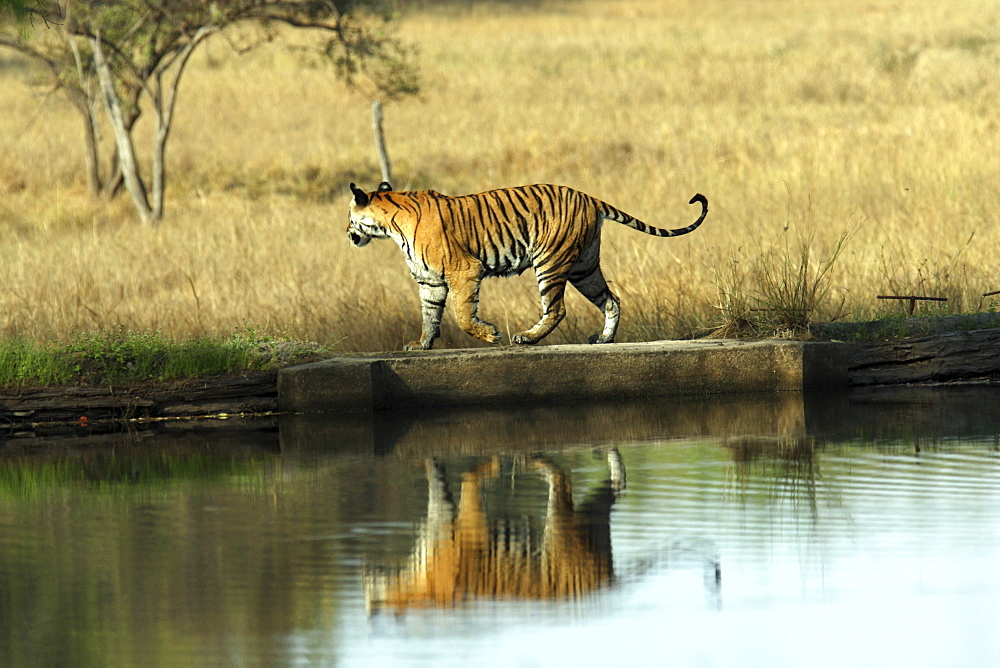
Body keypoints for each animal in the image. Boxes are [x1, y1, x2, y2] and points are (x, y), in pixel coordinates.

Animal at [348, 180, 708, 352]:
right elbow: (429, 315)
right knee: (611, 300)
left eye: (349, 217)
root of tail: (588, 196)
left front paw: (489, 334)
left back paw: (528, 338)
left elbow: (462, 315)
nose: (348, 235)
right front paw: (421, 344)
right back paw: (604, 340)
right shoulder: (430, 281)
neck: (392, 227)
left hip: (550, 261)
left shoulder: (465, 271)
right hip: (584, 267)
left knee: (557, 308)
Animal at [360, 452, 624, 612]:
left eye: (367, 591)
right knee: (617, 484)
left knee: (562, 477)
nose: (363, 573)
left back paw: (532, 461)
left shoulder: (454, 515)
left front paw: (495, 464)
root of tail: (605, 580)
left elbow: (467, 477)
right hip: (594, 518)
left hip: (558, 529)